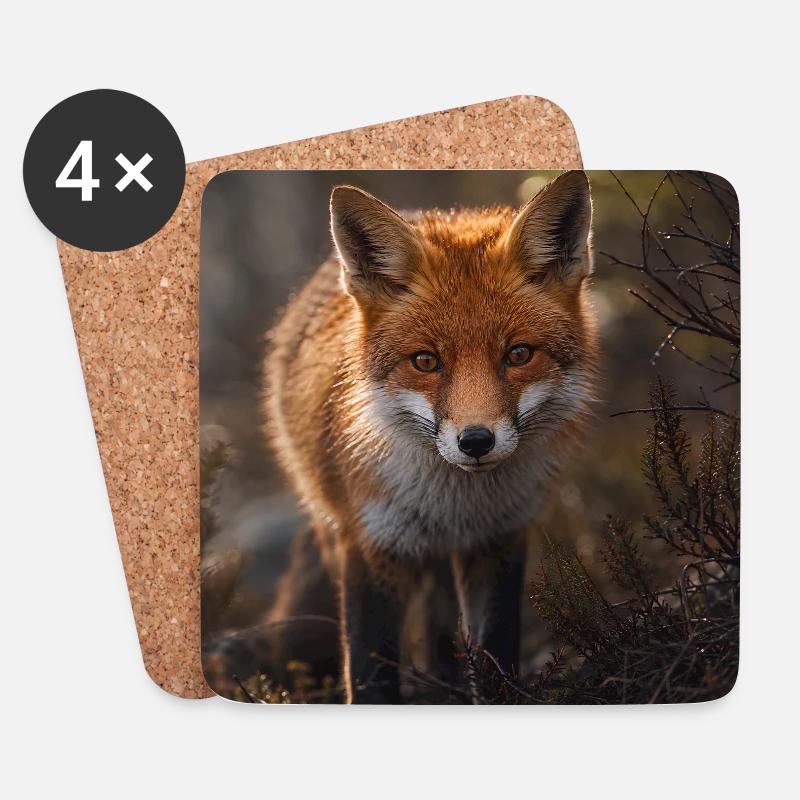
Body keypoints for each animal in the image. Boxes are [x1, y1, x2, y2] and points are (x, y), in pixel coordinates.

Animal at [264, 170, 598, 703]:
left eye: (519, 354)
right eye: (425, 361)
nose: (476, 441)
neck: (454, 505)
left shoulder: (499, 539)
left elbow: (495, 653)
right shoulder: (372, 543)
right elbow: (370, 674)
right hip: (335, 530)